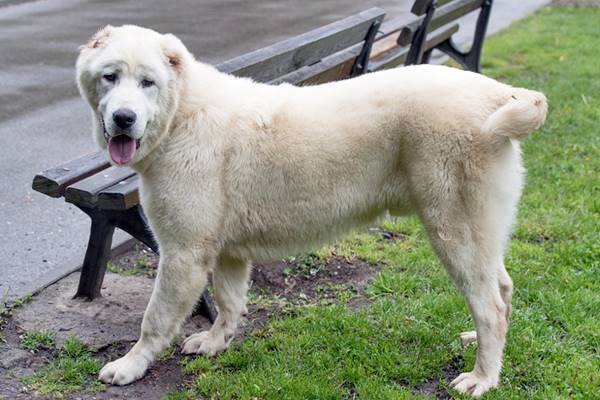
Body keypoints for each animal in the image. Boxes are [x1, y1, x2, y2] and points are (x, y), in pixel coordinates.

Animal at [76, 25, 548, 396]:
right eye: (110, 77)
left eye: (148, 83)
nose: (123, 117)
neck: (181, 114)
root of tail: (496, 93)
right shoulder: (226, 250)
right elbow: (229, 302)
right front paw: (215, 343)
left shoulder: (182, 252)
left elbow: (154, 319)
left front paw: (131, 365)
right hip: (479, 230)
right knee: (502, 290)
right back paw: (479, 345)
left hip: (454, 230)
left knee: (489, 305)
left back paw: (482, 378)